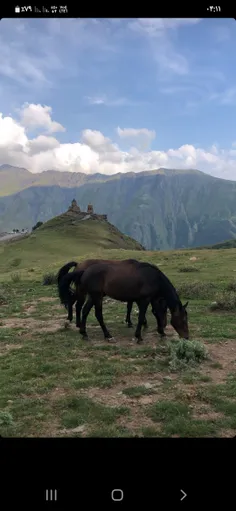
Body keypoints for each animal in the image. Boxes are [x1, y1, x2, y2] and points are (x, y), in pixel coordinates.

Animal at [57, 260, 188, 344]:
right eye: (183, 319)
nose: (186, 337)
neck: (154, 278)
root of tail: (83, 271)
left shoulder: (147, 300)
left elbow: (155, 314)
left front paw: (161, 333)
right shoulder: (144, 300)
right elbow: (141, 317)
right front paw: (139, 337)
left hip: (93, 296)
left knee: (84, 310)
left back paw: (84, 333)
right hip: (96, 296)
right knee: (97, 314)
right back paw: (108, 336)